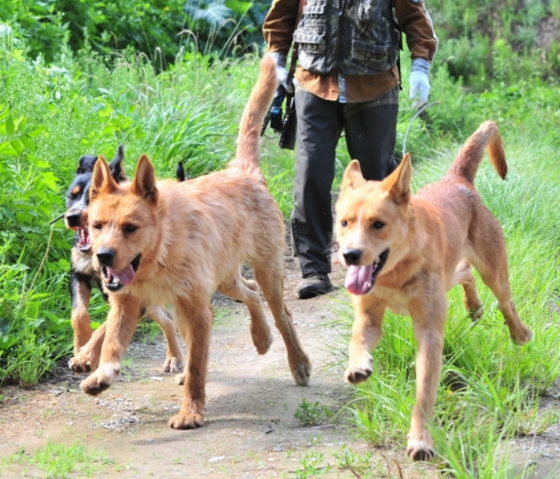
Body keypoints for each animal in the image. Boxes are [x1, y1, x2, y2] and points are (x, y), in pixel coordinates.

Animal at [65, 147, 184, 376]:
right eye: (71, 196)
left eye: (90, 198)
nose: (71, 216)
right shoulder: (78, 274)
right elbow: (79, 314)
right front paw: (80, 344)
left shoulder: (129, 293)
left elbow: (105, 326)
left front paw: (86, 355)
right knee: (166, 319)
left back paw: (175, 357)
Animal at [79, 54, 312, 430]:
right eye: (97, 225)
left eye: (130, 228)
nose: (102, 256)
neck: (160, 250)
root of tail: (242, 170)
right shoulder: (127, 303)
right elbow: (112, 342)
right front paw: (100, 374)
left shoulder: (199, 311)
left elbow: (199, 366)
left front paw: (191, 411)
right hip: (224, 279)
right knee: (250, 293)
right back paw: (260, 336)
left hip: (267, 272)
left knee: (282, 314)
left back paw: (297, 361)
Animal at [334, 122, 532, 464]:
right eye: (344, 222)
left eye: (378, 224)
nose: (350, 255)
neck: (395, 272)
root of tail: (457, 181)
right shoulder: (369, 314)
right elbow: (357, 338)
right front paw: (357, 365)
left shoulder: (429, 332)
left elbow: (424, 393)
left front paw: (421, 440)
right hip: (451, 273)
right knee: (464, 272)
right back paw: (473, 305)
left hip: (494, 271)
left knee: (506, 303)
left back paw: (519, 333)